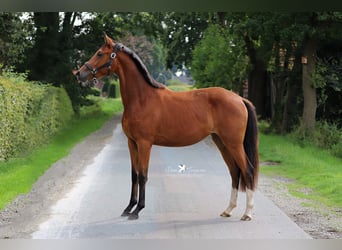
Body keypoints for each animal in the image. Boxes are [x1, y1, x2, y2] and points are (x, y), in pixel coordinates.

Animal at [73, 33, 260, 221]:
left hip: (234, 144)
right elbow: (134, 175)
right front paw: (128, 208)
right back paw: (228, 210)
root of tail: (239, 99)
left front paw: (138, 210)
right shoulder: (131, 143)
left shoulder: (144, 143)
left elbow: (143, 175)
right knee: (235, 172)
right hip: (221, 142)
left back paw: (248, 213)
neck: (141, 99)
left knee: (248, 171)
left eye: (99, 53)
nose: (79, 73)